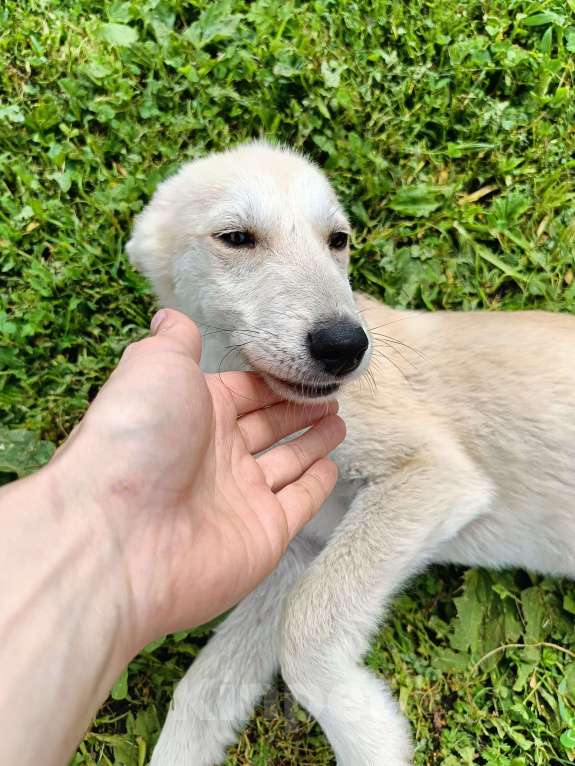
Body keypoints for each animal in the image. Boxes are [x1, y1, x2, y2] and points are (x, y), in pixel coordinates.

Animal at [127, 141, 575, 764]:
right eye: (236, 237)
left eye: (337, 239)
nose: (345, 346)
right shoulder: (298, 546)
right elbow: (202, 690)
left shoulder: (434, 475)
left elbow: (303, 631)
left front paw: (367, 731)